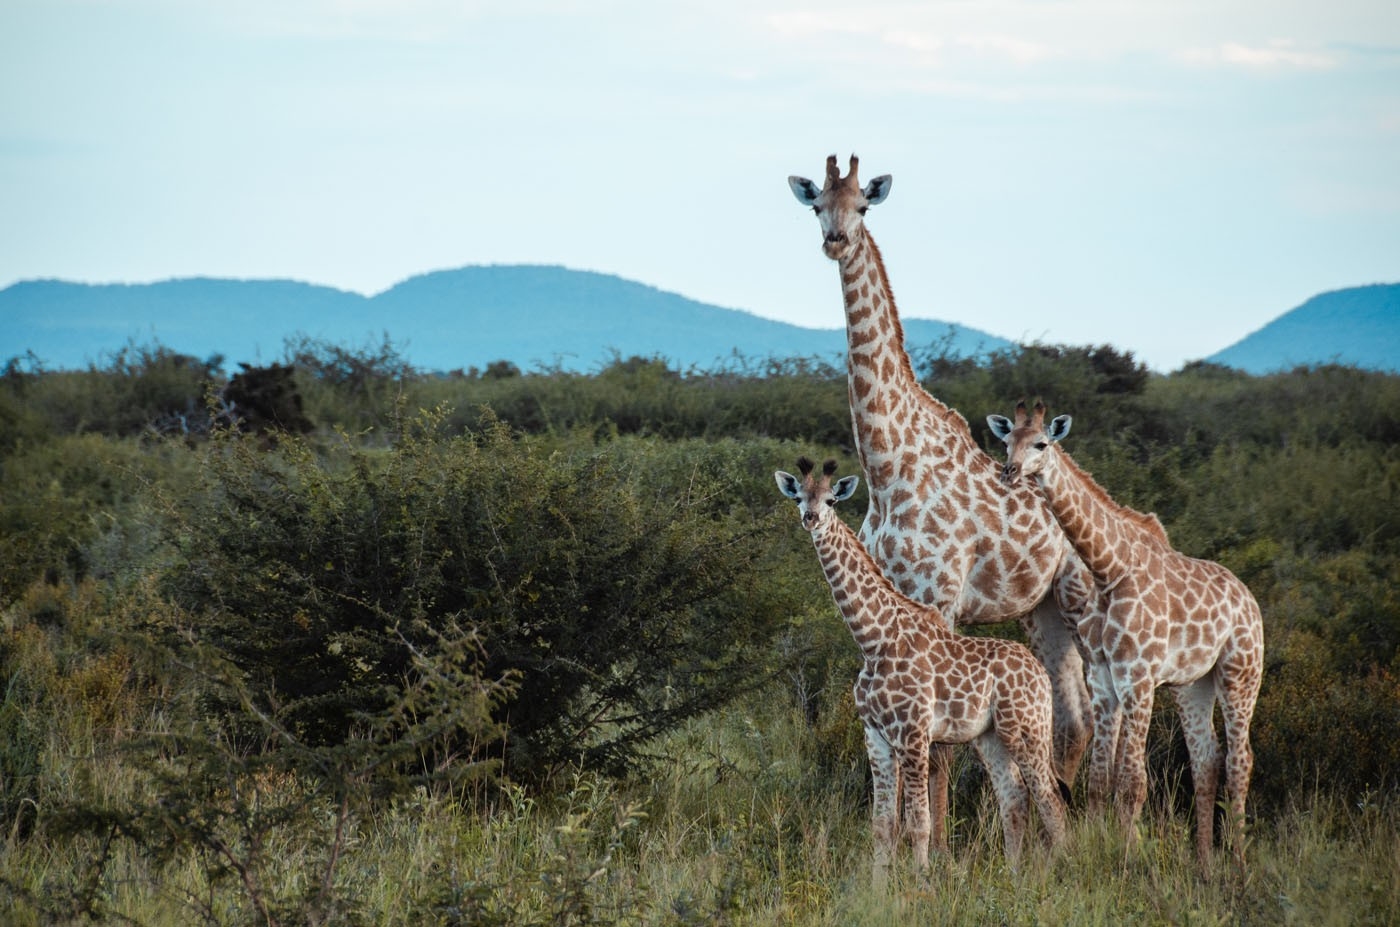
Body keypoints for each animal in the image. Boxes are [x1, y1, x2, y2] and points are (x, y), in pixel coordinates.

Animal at [778, 456, 1058, 879]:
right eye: (798, 497)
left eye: (831, 500)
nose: (810, 518)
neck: (873, 639)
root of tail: (1041, 675)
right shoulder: (875, 736)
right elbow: (883, 823)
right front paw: (878, 886)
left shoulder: (913, 734)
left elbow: (918, 821)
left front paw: (921, 881)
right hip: (990, 735)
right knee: (1015, 797)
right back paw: (1013, 875)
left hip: (1027, 728)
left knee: (1049, 797)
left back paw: (1065, 865)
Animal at [789, 156, 1092, 851]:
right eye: (816, 204)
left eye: (863, 207)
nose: (835, 241)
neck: (886, 461)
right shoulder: (899, 595)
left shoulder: (942, 596)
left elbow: (938, 750)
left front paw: (942, 856)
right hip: (1041, 613)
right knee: (1070, 723)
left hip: (1079, 601)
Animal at [985, 403, 1271, 868]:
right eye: (1006, 442)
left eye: (1042, 444)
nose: (1009, 471)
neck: (1107, 568)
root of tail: (1248, 597)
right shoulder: (1102, 677)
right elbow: (1101, 779)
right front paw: (1098, 851)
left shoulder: (1138, 676)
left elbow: (1133, 781)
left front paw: (1129, 859)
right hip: (1194, 683)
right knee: (1206, 759)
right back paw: (1204, 861)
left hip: (1240, 672)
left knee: (1240, 759)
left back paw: (1239, 859)